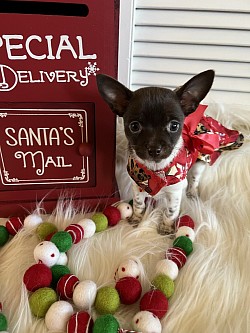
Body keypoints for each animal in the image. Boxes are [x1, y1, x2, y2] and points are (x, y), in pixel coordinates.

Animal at [96, 70, 244, 233]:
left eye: (174, 126)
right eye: (134, 126)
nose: (154, 149)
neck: (155, 171)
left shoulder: (174, 193)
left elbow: (171, 211)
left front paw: (166, 228)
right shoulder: (137, 186)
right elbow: (138, 204)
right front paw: (136, 218)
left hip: (200, 161)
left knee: (194, 178)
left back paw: (192, 192)